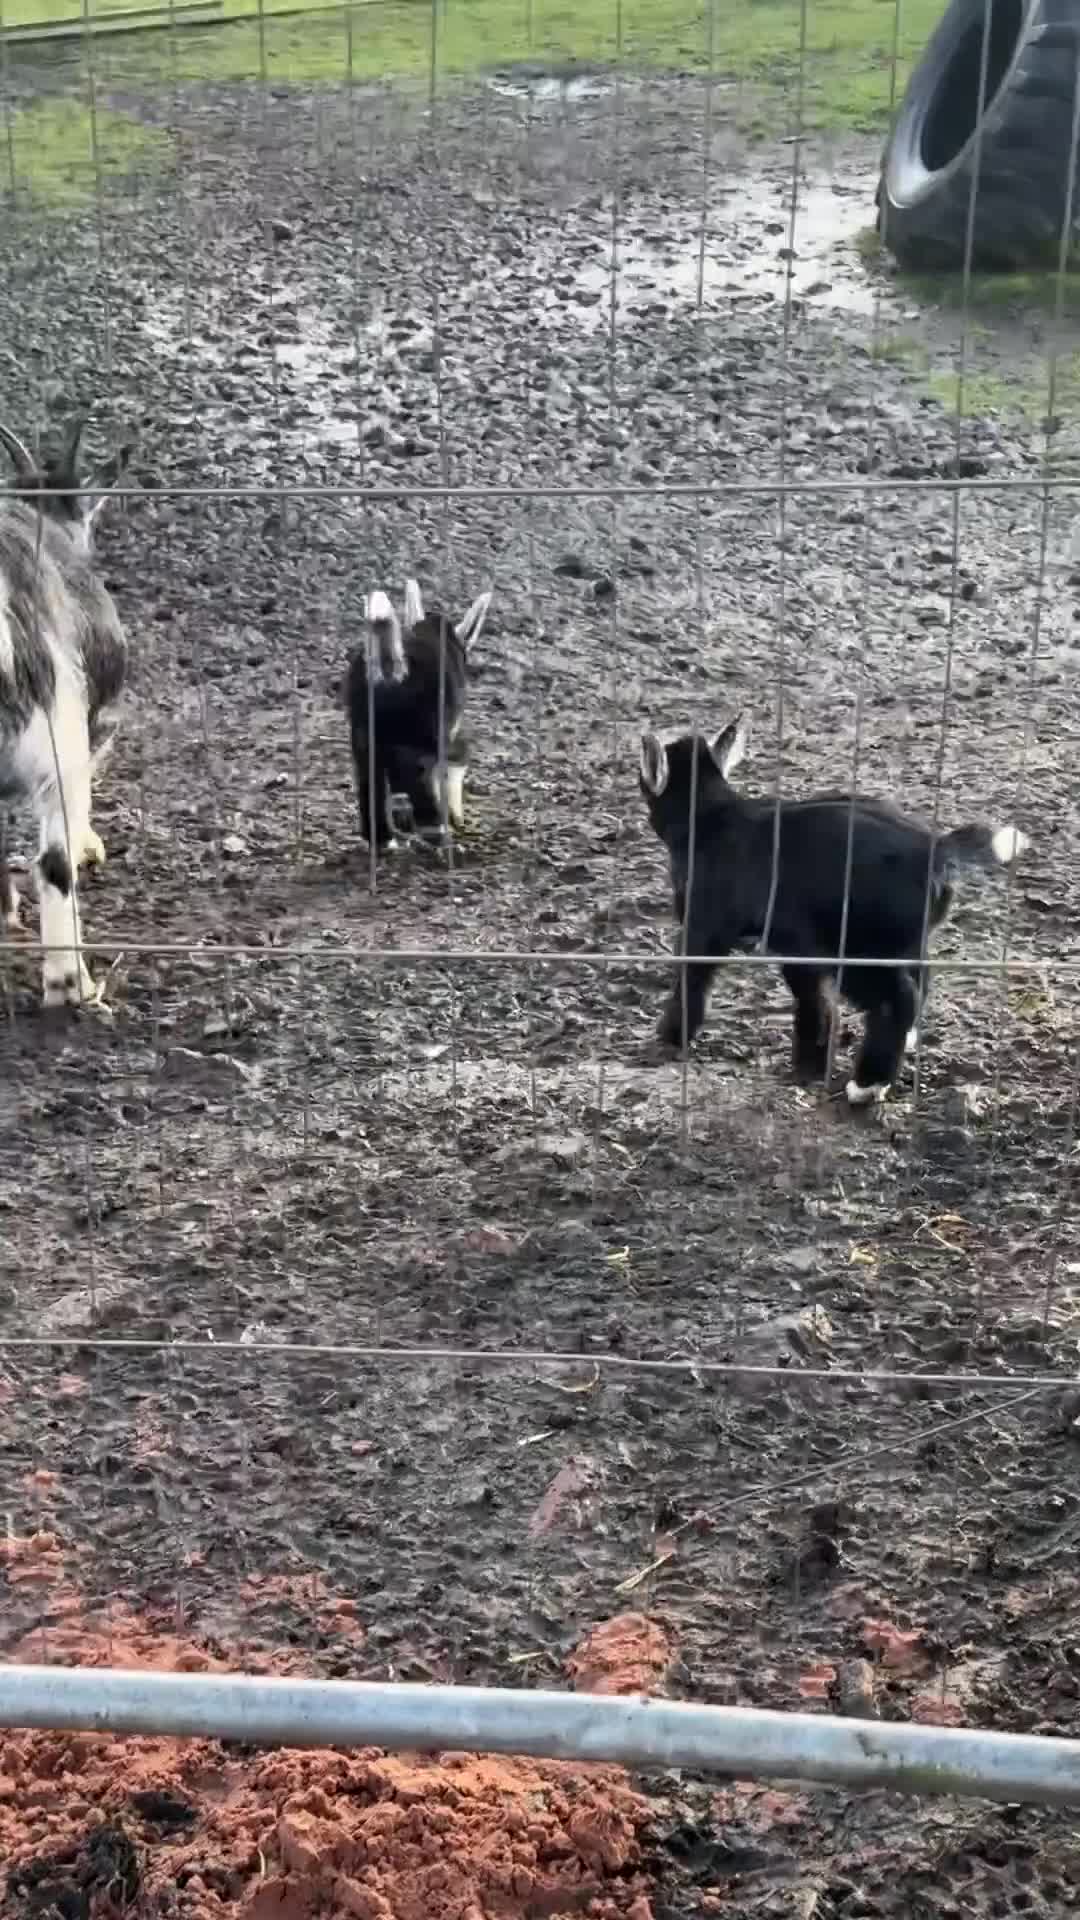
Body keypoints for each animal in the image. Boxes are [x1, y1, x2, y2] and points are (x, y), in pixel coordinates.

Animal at [344, 577, 492, 854]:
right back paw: (439, 837)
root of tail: (391, 669)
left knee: (371, 786)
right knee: (416, 781)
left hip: (363, 739)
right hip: (420, 739)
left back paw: (383, 840)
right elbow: (448, 774)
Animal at [639, 714, 1028, 1106]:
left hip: (860, 946)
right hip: (902, 940)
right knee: (920, 982)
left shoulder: (704, 925)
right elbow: (813, 996)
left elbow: (691, 978)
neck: (709, 815)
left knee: (898, 999)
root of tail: (937, 850)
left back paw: (867, 1085)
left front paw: (670, 1037)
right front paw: (809, 1061)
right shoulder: (796, 943)